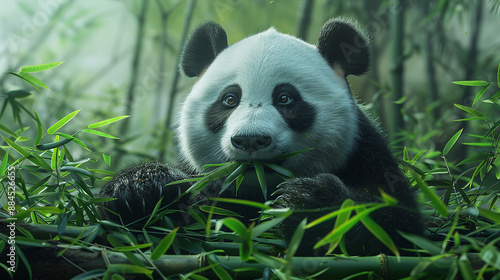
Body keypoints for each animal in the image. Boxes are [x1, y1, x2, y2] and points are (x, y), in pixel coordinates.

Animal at [99, 18, 424, 256]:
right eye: (230, 99)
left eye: (285, 99)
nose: (250, 140)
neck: (257, 189)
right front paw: (142, 188)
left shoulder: (364, 153)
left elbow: (397, 227)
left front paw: (305, 202)